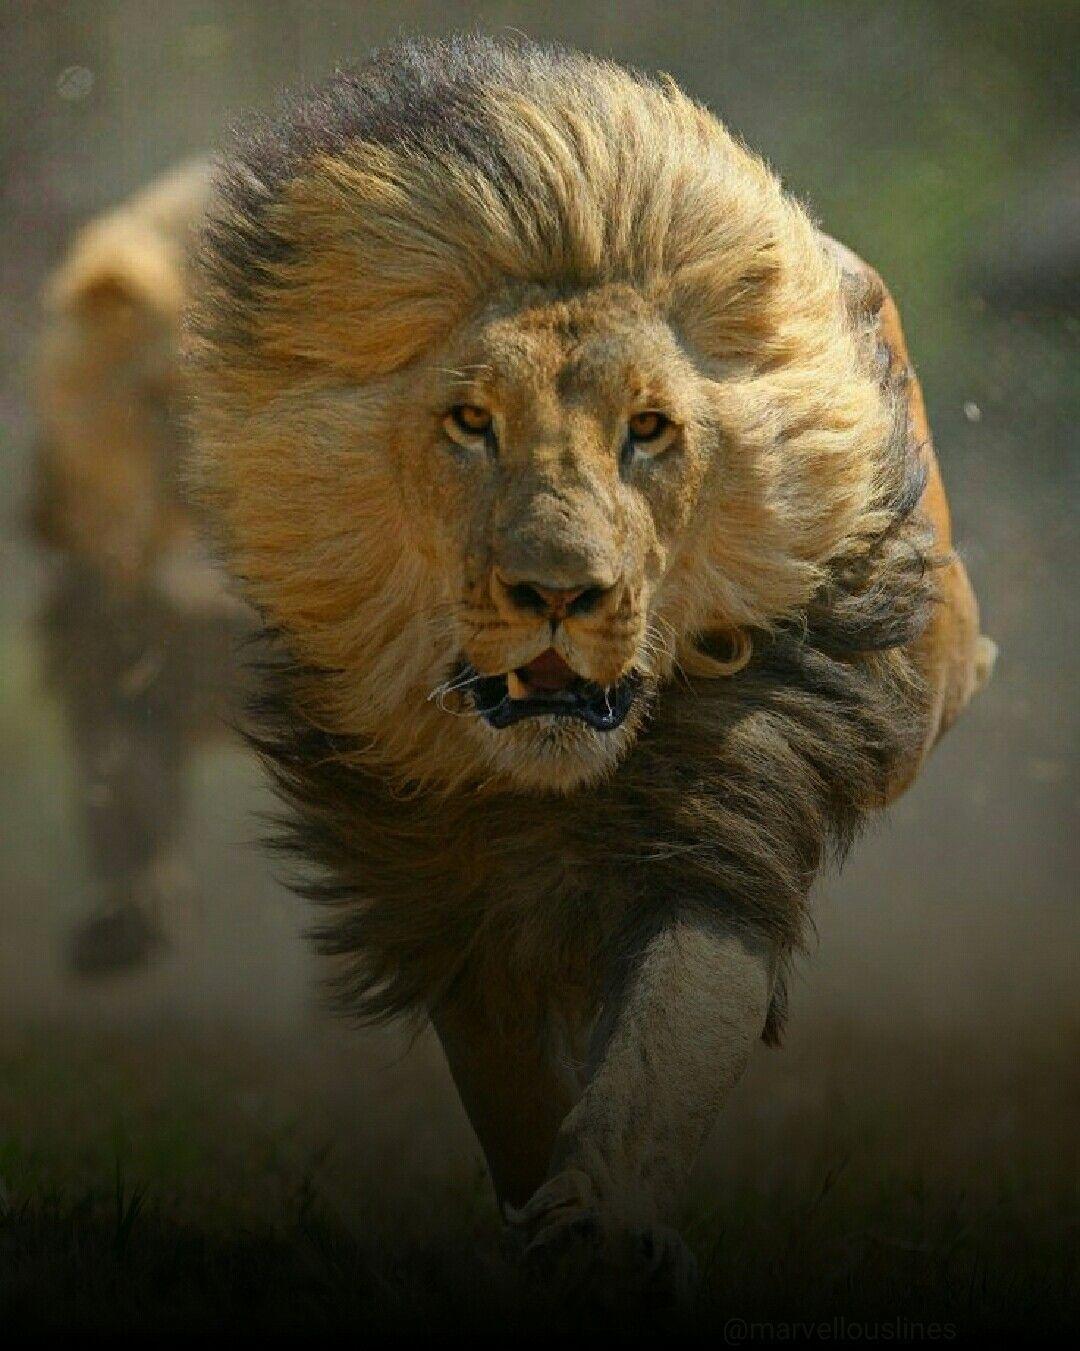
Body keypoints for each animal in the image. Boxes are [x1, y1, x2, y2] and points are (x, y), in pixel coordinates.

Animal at [188, 36, 995, 1300]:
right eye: (471, 422)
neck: (543, 783)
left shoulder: (724, 815)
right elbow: (516, 1093)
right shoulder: (438, 885)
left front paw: (604, 1228)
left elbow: (668, 1039)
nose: (561, 592)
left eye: (650, 429)